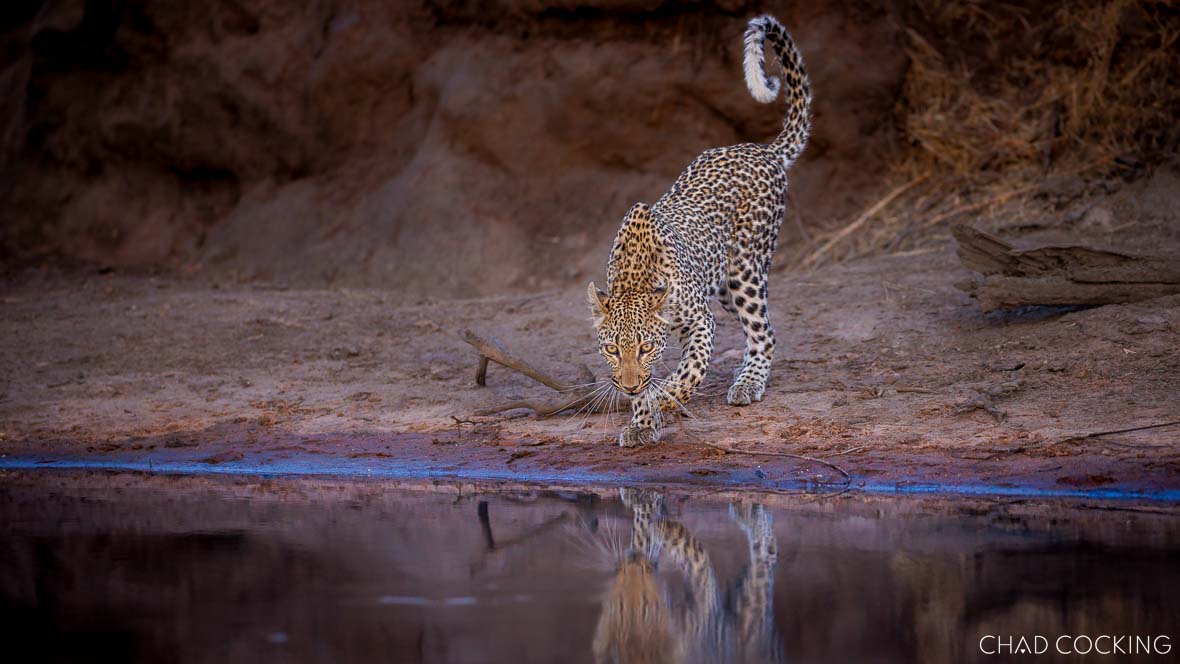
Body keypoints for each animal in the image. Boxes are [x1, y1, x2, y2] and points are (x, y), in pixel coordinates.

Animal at [587, 14, 812, 448]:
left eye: (644, 347)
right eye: (612, 349)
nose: (627, 385)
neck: (635, 277)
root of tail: (762, 150)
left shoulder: (700, 321)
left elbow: (690, 370)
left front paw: (665, 397)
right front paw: (642, 421)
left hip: (746, 272)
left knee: (764, 332)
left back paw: (748, 384)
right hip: (724, 286)